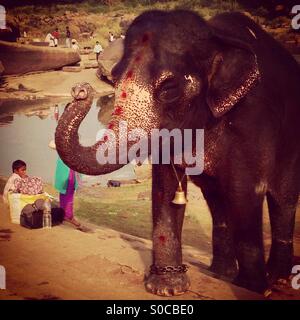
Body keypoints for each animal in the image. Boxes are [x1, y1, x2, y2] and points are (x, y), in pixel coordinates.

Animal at [55, 11, 300, 298]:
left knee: (282, 198)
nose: (80, 90)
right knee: (216, 197)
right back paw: (221, 273)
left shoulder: (253, 120)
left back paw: (276, 280)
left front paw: (251, 289)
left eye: (169, 89)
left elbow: (245, 191)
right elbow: (166, 186)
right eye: (113, 80)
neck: (215, 37)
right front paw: (167, 288)